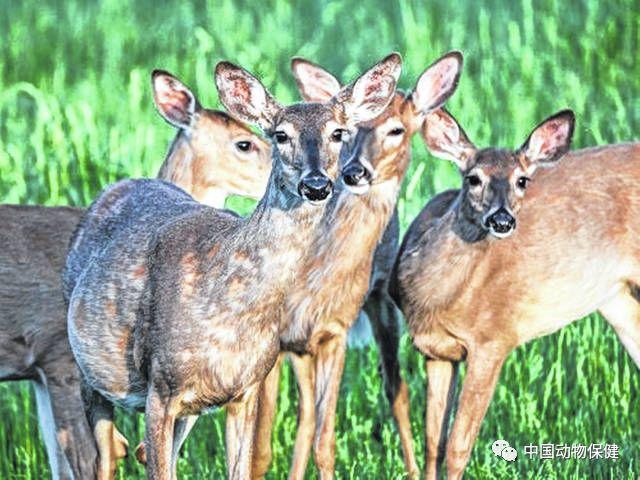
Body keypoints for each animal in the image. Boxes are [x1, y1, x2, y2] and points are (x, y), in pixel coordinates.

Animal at [61, 57, 400, 480]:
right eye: (280, 135)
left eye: (338, 133)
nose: (317, 184)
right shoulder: (160, 387)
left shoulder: (245, 389)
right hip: (90, 372)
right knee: (102, 459)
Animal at [250, 52, 464, 480]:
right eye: (347, 133)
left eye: (397, 129)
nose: (354, 172)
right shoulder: (280, 338)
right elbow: (262, 447)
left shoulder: (335, 332)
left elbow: (324, 439)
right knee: (306, 416)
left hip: (380, 302)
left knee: (395, 389)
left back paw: (412, 470)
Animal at [388, 107, 640, 478]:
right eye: (473, 178)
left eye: (522, 180)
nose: (502, 220)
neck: (435, 297)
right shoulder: (436, 351)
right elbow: (434, 442)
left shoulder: (493, 339)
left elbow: (458, 446)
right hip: (616, 299)